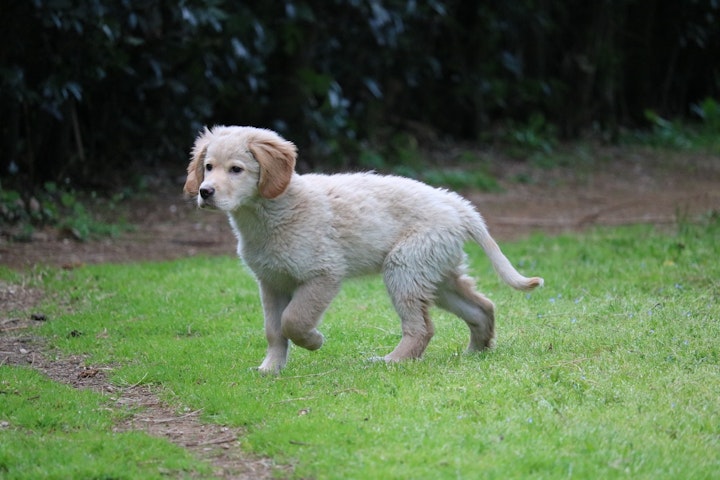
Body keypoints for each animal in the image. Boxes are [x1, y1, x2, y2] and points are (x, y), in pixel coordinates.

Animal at [183, 125, 544, 374]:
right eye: (209, 167)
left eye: (237, 169)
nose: (205, 192)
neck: (273, 211)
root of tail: (456, 204)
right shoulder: (271, 283)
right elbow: (274, 329)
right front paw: (270, 369)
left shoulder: (324, 274)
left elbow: (294, 320)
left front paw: (313, 341)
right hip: (434, 273)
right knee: (482, 307)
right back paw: (475, 353)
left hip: (404, 268)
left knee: (422, 329)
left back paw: (391, 362)